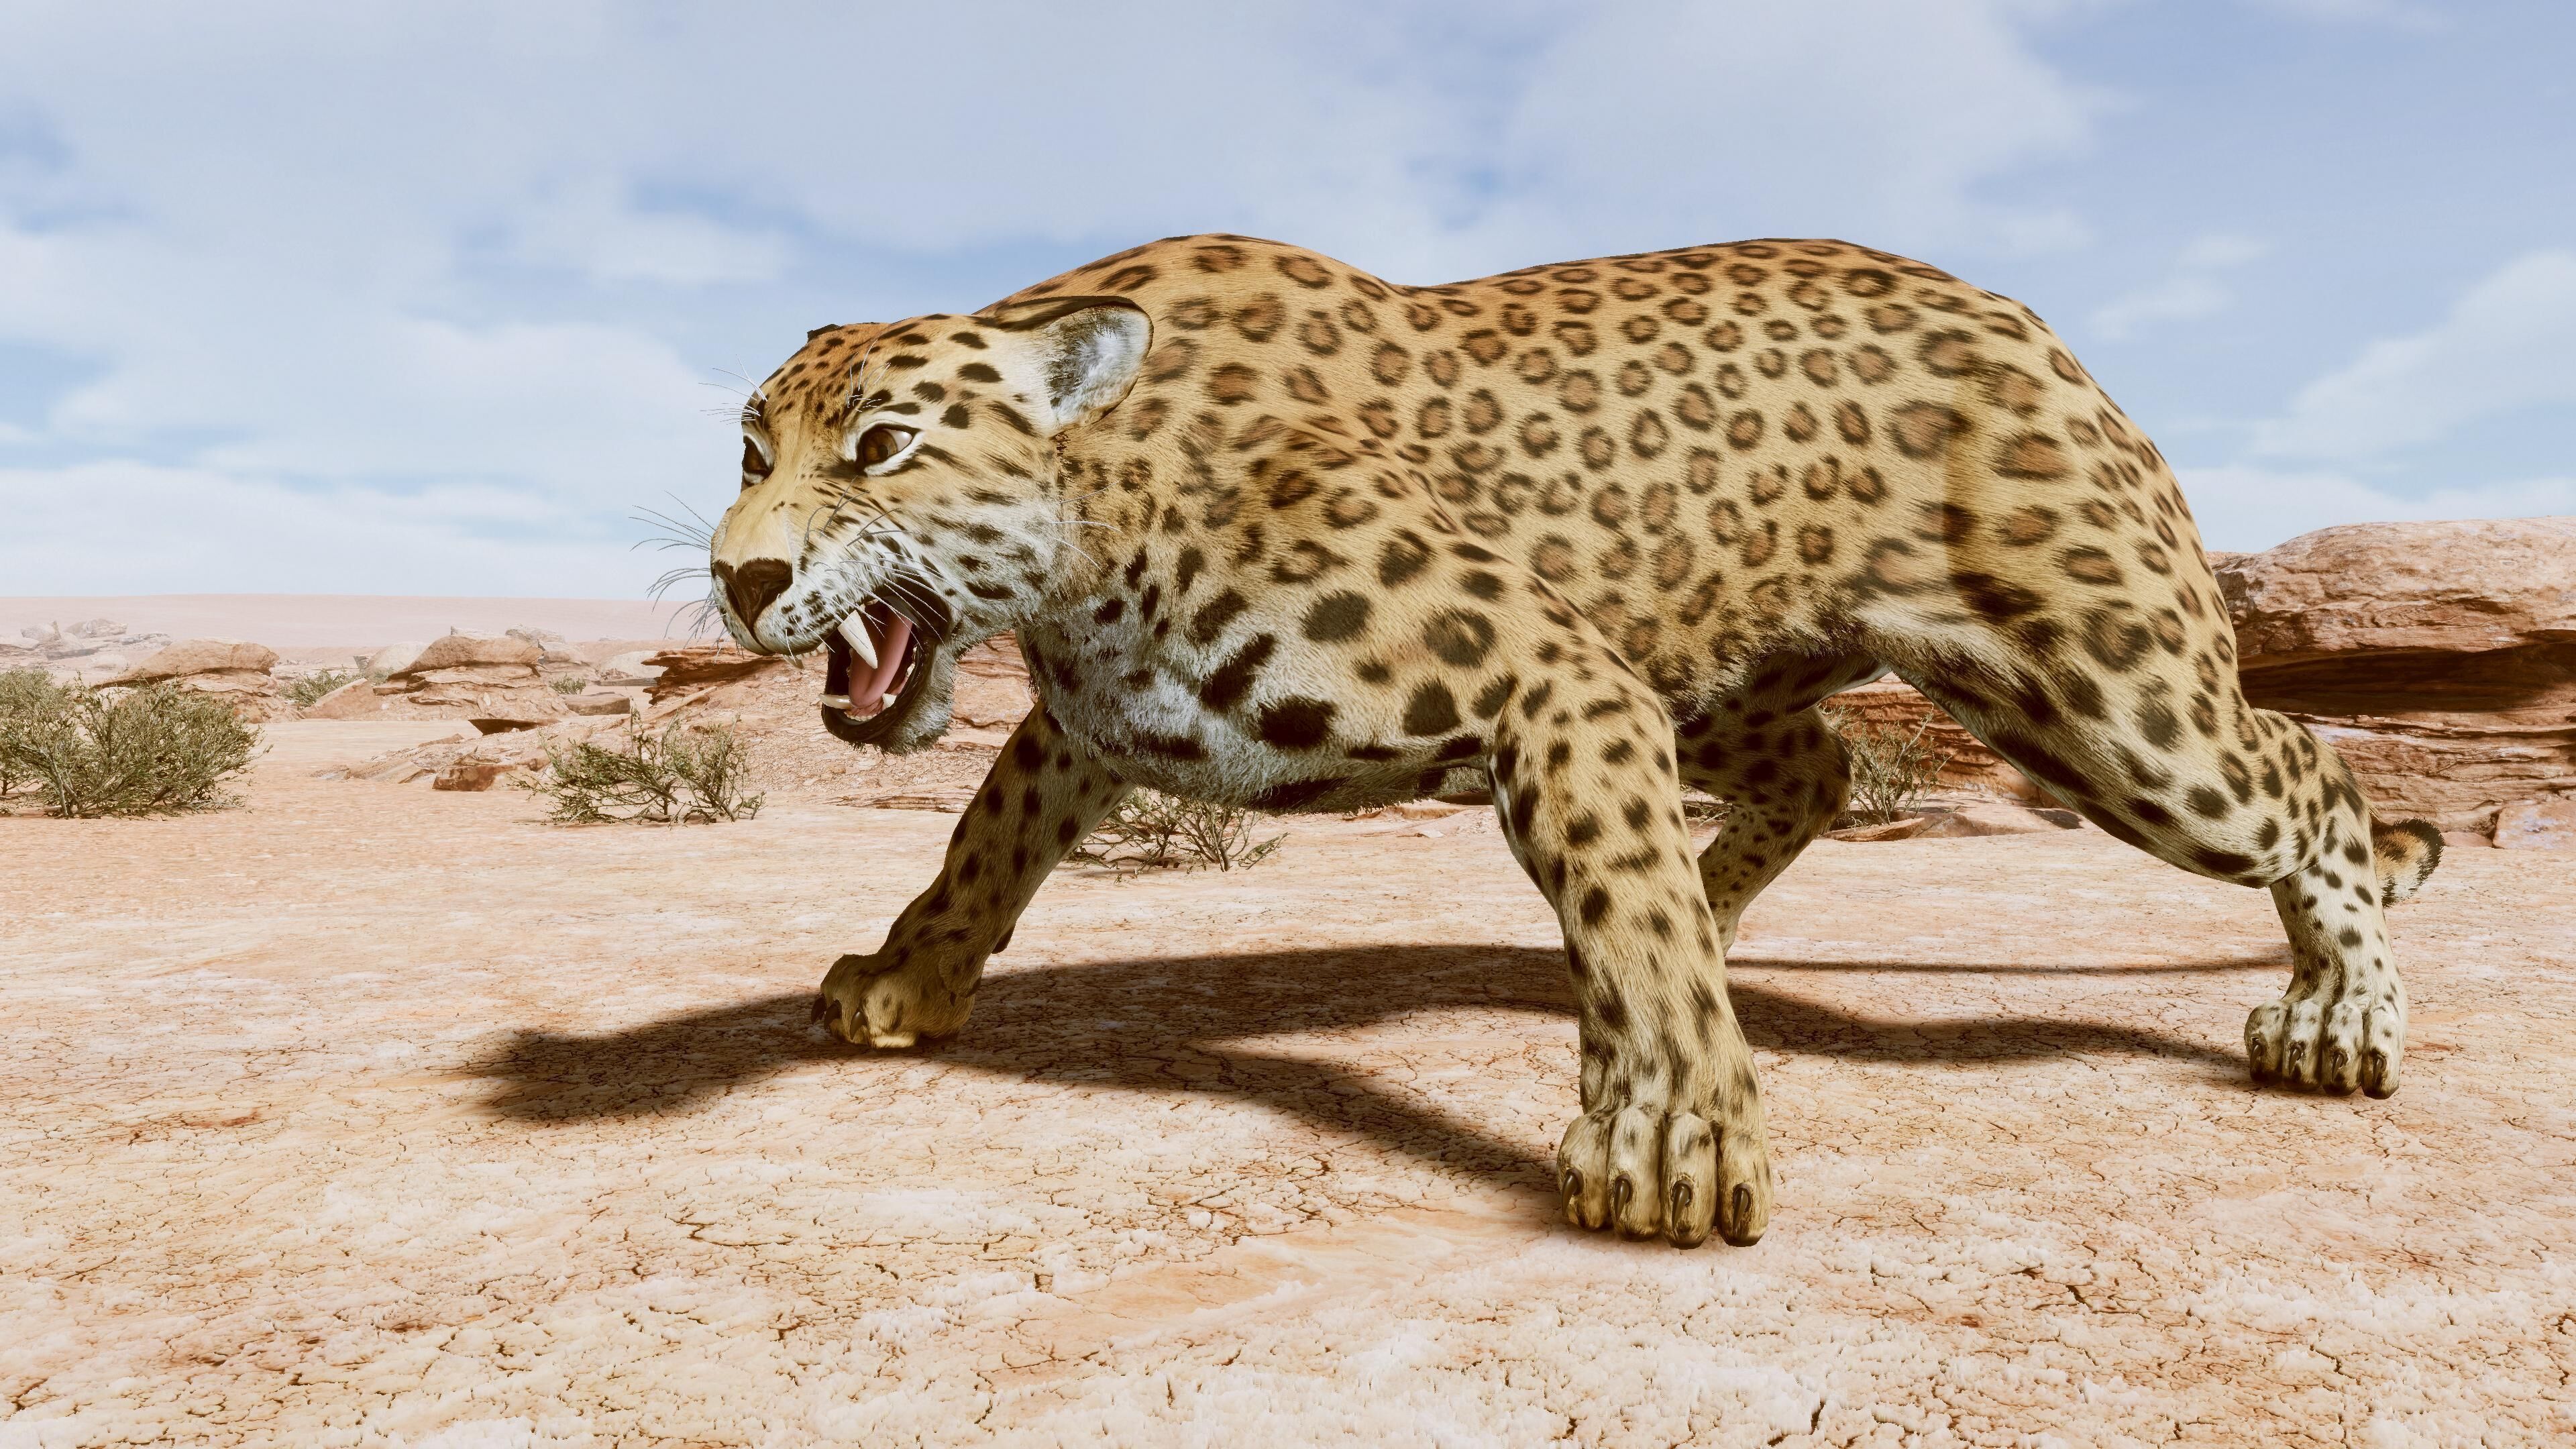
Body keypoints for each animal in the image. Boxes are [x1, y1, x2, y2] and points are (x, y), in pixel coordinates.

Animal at [706, 234, 2445, 1249]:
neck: (1091, 534)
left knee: (2307, 772)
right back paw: (1709, 923)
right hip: (1719, 667)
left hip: (2117, 706)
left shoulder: (1545, 669)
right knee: (1817, 770)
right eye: (748, 450)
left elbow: (1627, 915)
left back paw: (2337, 1019)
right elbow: (984, 837)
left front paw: (1668, 1143)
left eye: (882, 447)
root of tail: (2028, 324)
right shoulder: (1092, 719)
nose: (738, 577)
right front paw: (902, 979)